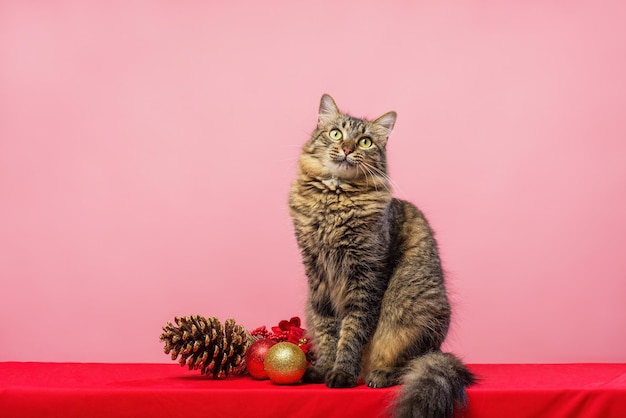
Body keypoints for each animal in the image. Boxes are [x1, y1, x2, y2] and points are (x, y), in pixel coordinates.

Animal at [288, 94, 472, 418]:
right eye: (336, 134)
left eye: (365, 142)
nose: (348, 149)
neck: (334, 199)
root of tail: (437, 349)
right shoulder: (317, 275)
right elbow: (327, 330)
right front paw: (324, 368)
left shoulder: (366, 274)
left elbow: (352, 331)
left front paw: (342, 374)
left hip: (410, 311)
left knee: (409, 364)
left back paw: (378, 376)